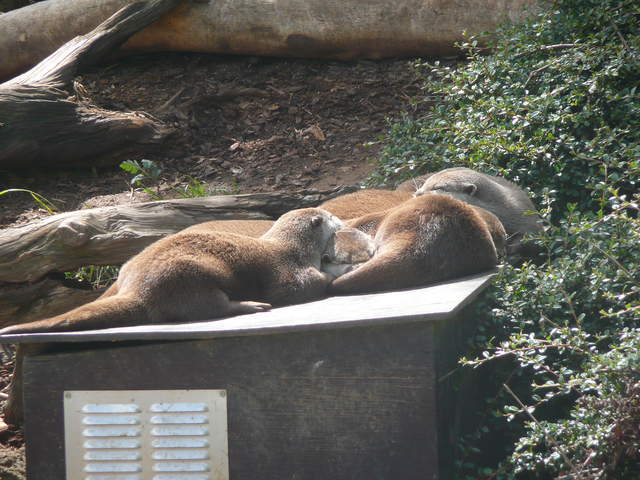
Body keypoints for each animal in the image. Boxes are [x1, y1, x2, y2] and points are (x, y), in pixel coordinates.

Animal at [0, 208, 344, 335]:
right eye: (331, 218)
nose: (339, 219)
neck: (295, 248)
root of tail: (138, 290)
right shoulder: (289, 271)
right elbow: (302, 286)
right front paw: (335, 274)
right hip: (188, 276)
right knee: (209, 308)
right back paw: (251, 305)